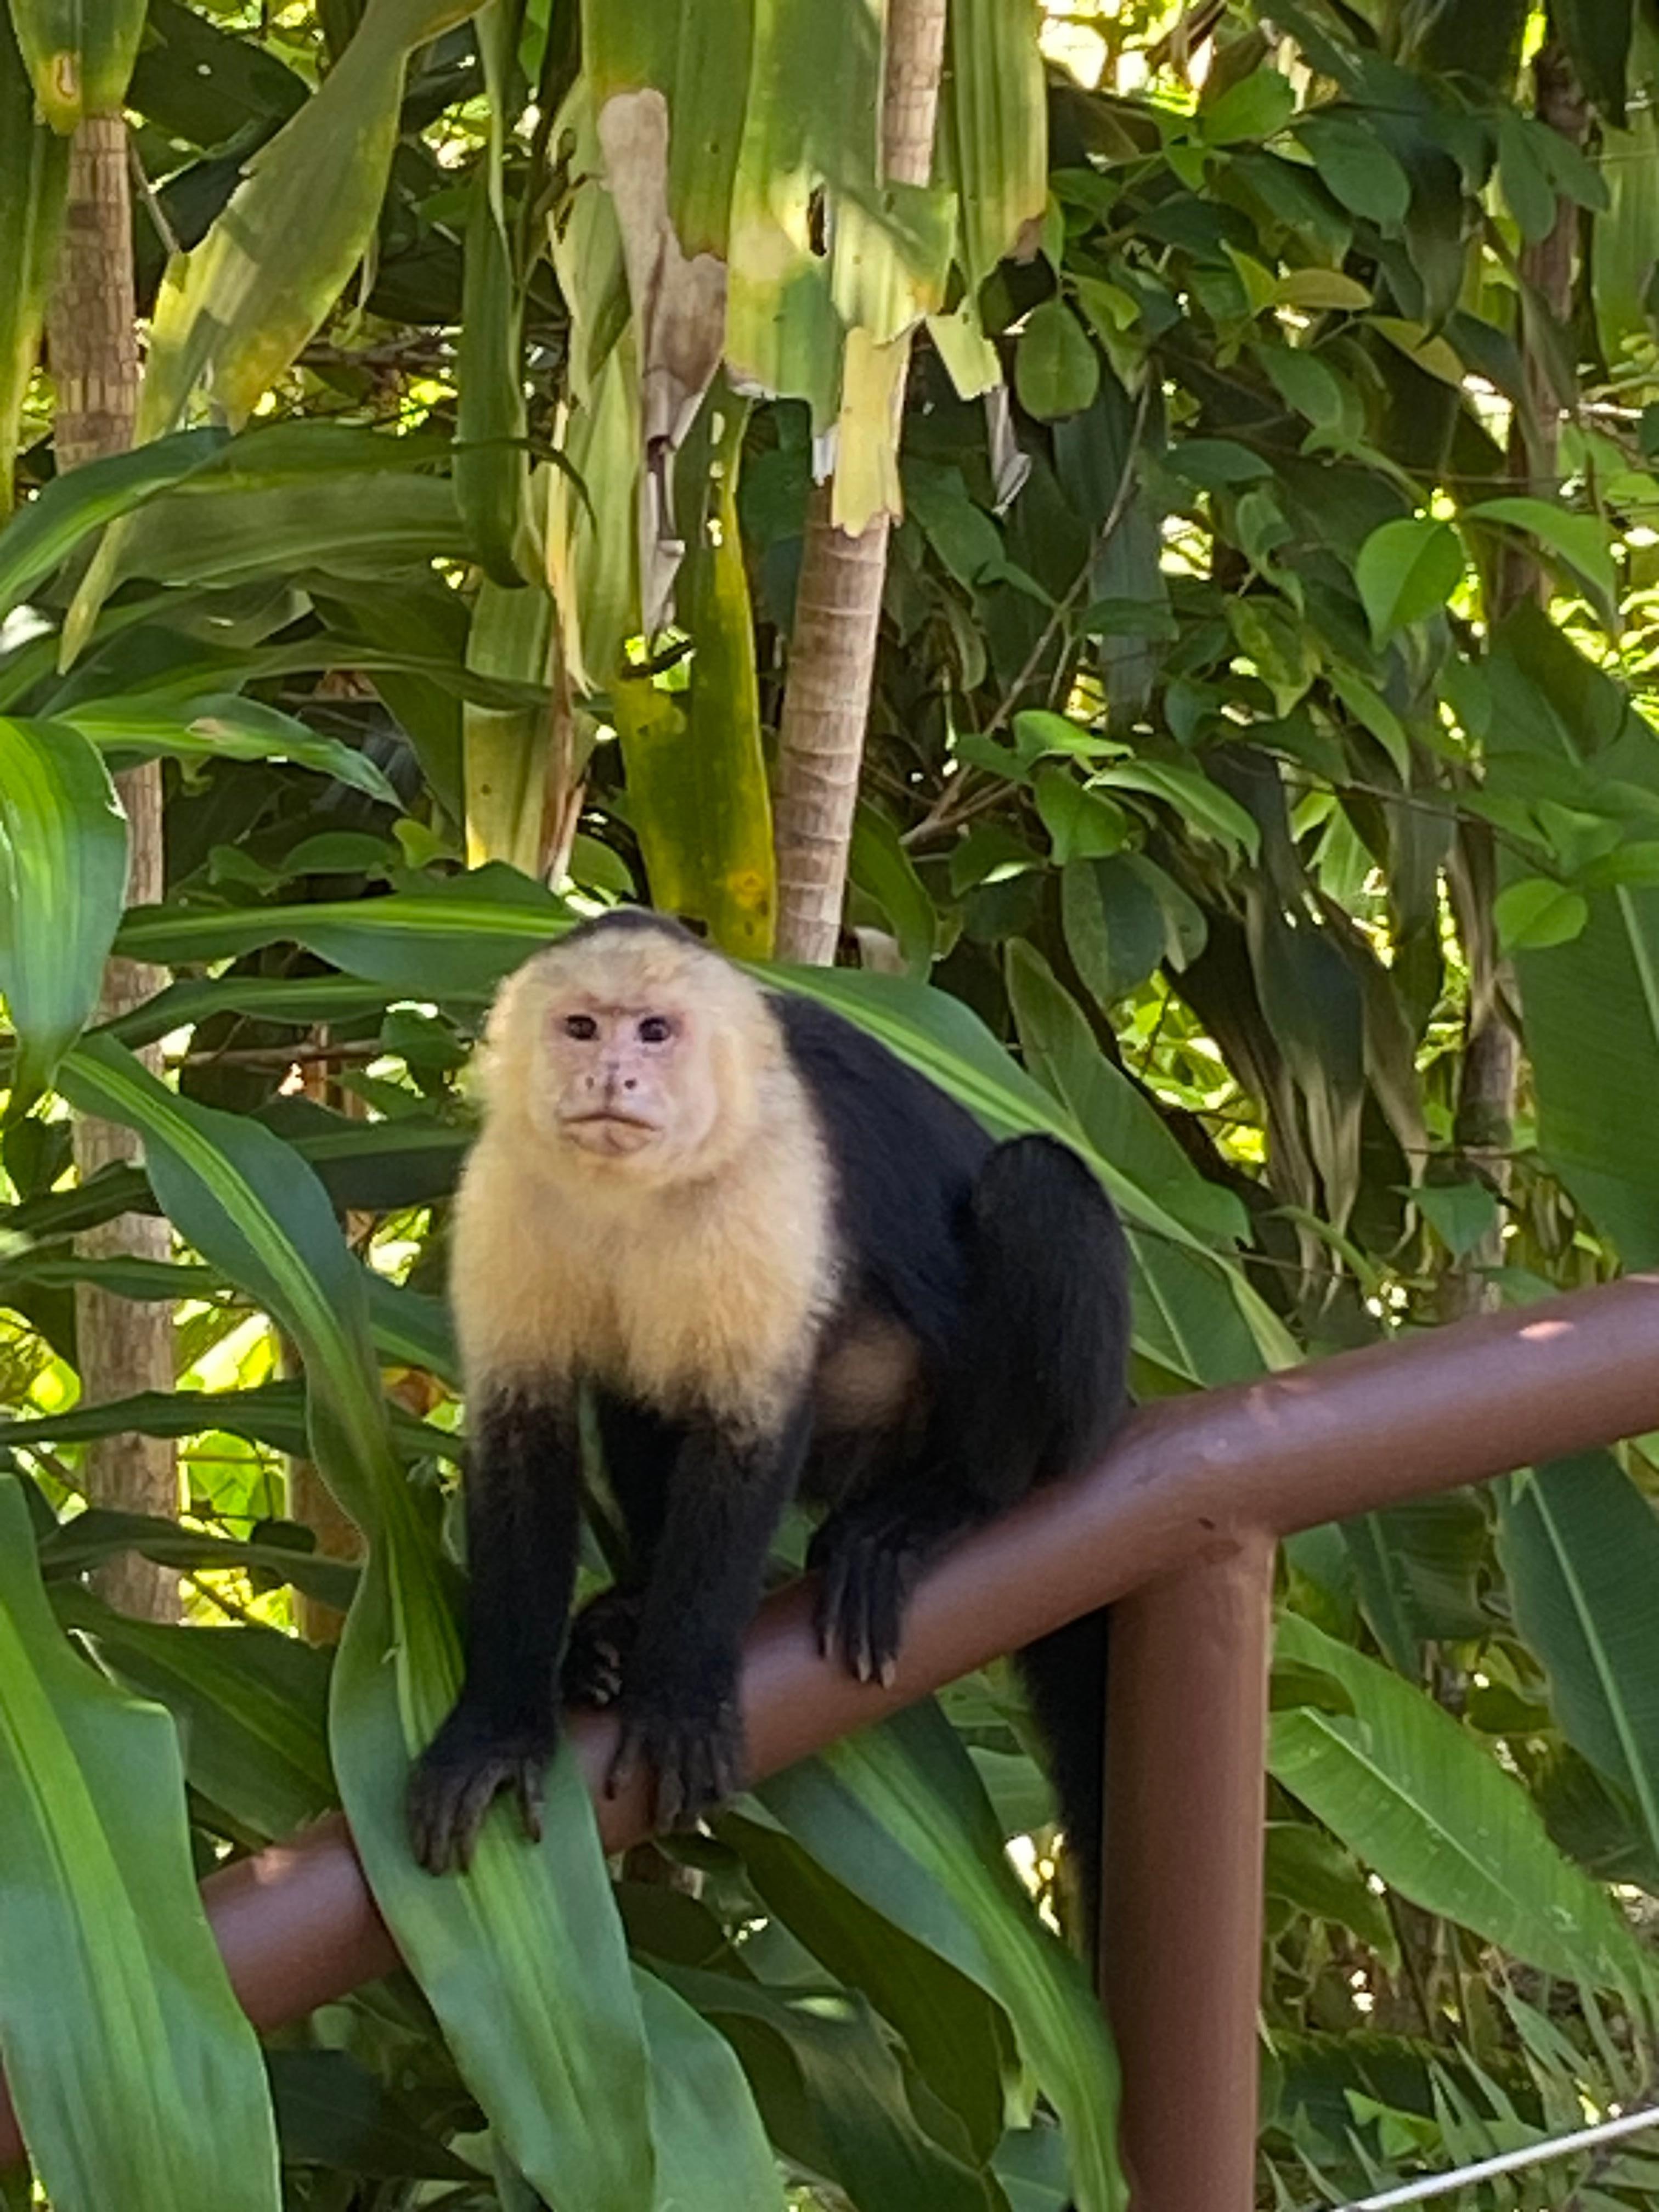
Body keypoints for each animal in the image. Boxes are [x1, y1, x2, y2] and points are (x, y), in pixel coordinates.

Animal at [411, 907, 1141, 1946]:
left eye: (656, 1033)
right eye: (582, 1028)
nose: (611, 1078)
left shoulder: (768, 1173)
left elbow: (746, 1427)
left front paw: (681, 1696)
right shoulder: (506, 1184)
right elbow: (526, 1433)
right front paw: (500, 1727)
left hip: (1062, 1421)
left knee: (1034, 1187)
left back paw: (945, 1506)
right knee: (640, 1379)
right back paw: (626, 1614)